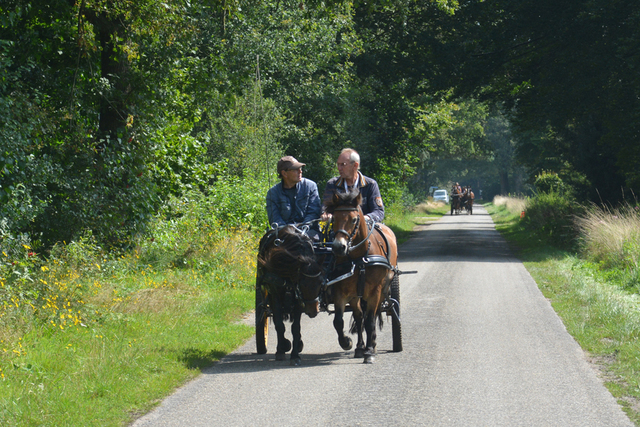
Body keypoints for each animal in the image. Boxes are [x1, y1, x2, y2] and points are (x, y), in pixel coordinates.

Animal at [328, 191, 398, 364]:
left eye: (354, 219)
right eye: (333, 219)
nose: (339, 247)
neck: (360, 258)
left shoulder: (374, 292)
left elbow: (370, 321)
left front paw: (370, 352)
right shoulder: (341, 292)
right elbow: (338, 321)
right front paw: (346, 342)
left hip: (383, 290)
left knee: (372, 315)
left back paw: (371, 345)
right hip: (356, 296)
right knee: (359, 316)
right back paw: (360, 347)